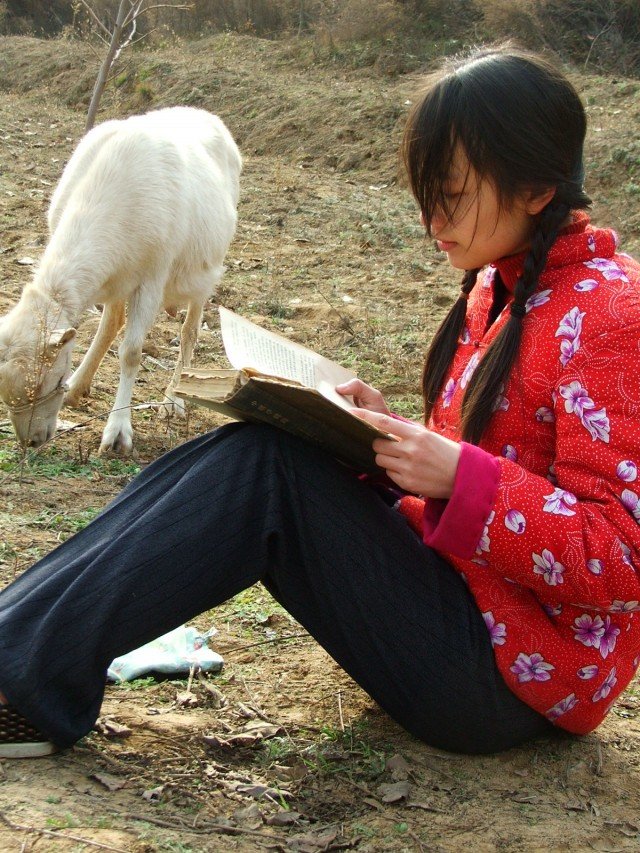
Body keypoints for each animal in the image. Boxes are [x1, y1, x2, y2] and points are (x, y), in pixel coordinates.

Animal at [0, 106, 242, 453]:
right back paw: (82, 383)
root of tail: (201, 112)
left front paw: (118, 432)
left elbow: (131, 353)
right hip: (119, 279)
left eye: (53, 380)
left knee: (189, 332)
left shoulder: (153, 278)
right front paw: (77, 388)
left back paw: (173, 400)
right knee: (111, 324)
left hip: (206, 269)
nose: (31, 441)